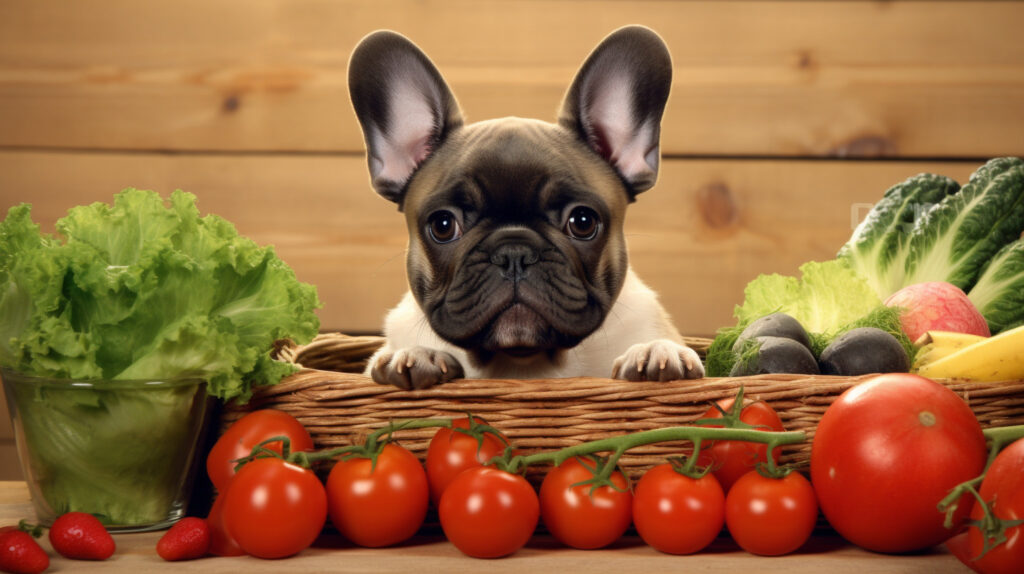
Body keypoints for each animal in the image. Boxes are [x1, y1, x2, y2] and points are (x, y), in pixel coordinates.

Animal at [350, 24, 704, 386]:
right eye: (443, 225)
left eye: (582, 222)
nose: (514, 253)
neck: (525, 362)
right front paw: (418, 354)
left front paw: (656, 351)